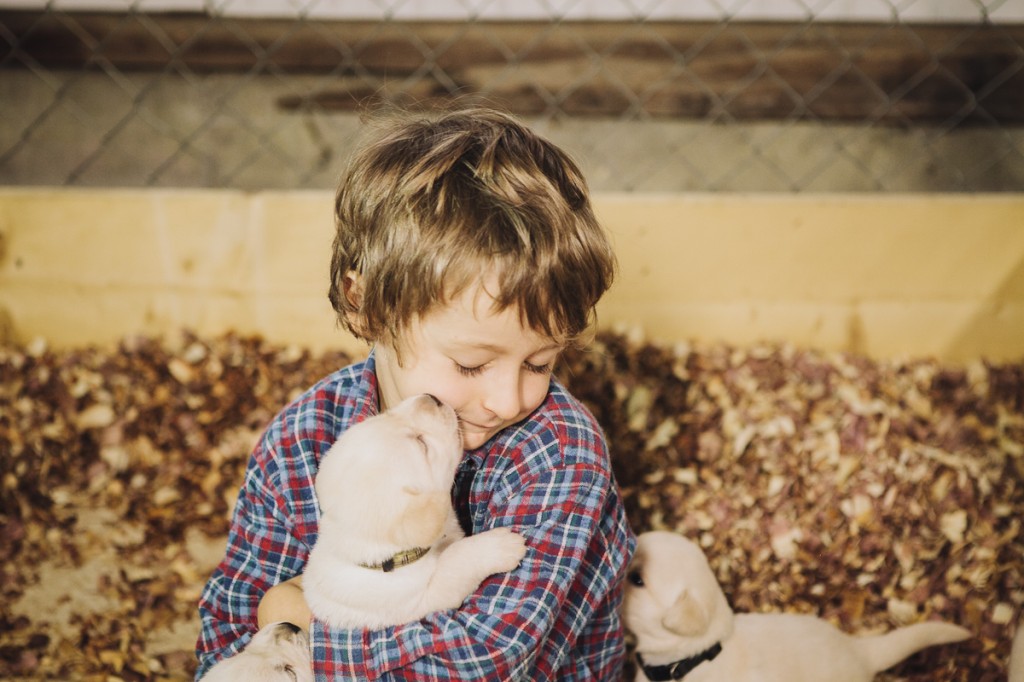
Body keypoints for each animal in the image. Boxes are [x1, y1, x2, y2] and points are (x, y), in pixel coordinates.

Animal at [205, 391, 528, 675]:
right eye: (422, 444)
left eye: (386, 414)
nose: (432, 397)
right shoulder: (426, 598)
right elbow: (457, 561)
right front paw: (501, 546)